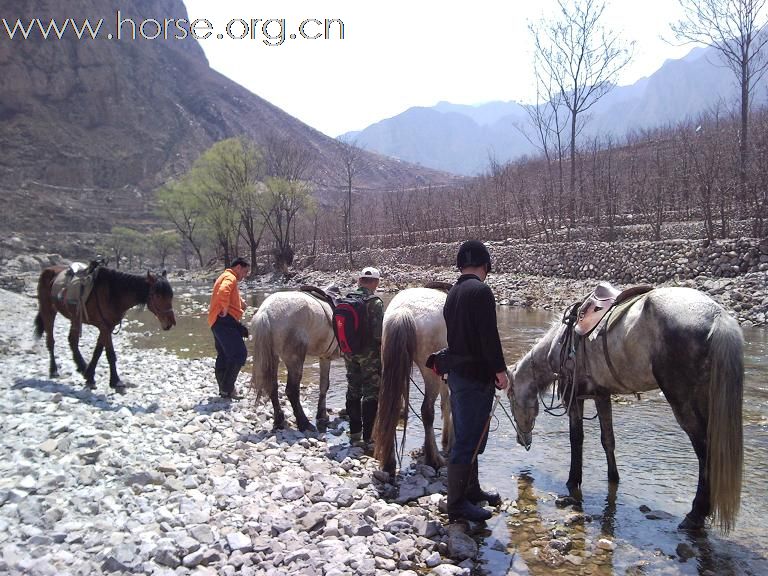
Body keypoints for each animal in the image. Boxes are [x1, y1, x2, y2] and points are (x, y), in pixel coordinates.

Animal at [34, 264, 176, 390]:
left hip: (75, 318)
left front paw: (89, 376)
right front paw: (115, 381)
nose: (170, 323)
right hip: (48, 311)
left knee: (72, 341)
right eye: (158, 295)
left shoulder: (107, 327)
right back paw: (54, 370)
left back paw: (82, 367)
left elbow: (98, 352)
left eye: (171, 295)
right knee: (51, 341)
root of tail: (48, 270)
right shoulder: (105, 327)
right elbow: (110, 354)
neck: (113, 294)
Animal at [249, 292, 340, 432]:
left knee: (272, 387)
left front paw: (322, 415)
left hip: (273, 358)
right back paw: (304, 423)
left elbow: (324, 385)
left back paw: (279, 421)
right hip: (295, 360)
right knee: (292, 391)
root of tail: (266, 312)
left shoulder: (325, 358)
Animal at [372, 286, 450, 472]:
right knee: (427, 411)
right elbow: (448, 405)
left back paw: (389, 462)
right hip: (430, 374)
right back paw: (434, 459)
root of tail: (403, 311)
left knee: (391, 406)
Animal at [508, 286, 740, 532]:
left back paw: (695, 514)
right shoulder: (601, 395)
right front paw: (613, 478)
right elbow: (608, 440)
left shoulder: (575, 396)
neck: (559, 342)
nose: (522, 440)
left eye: (511, 397)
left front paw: (573, 480)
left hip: (683, 402)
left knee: (705, 451)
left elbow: (576, 438)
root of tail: (717, 316)